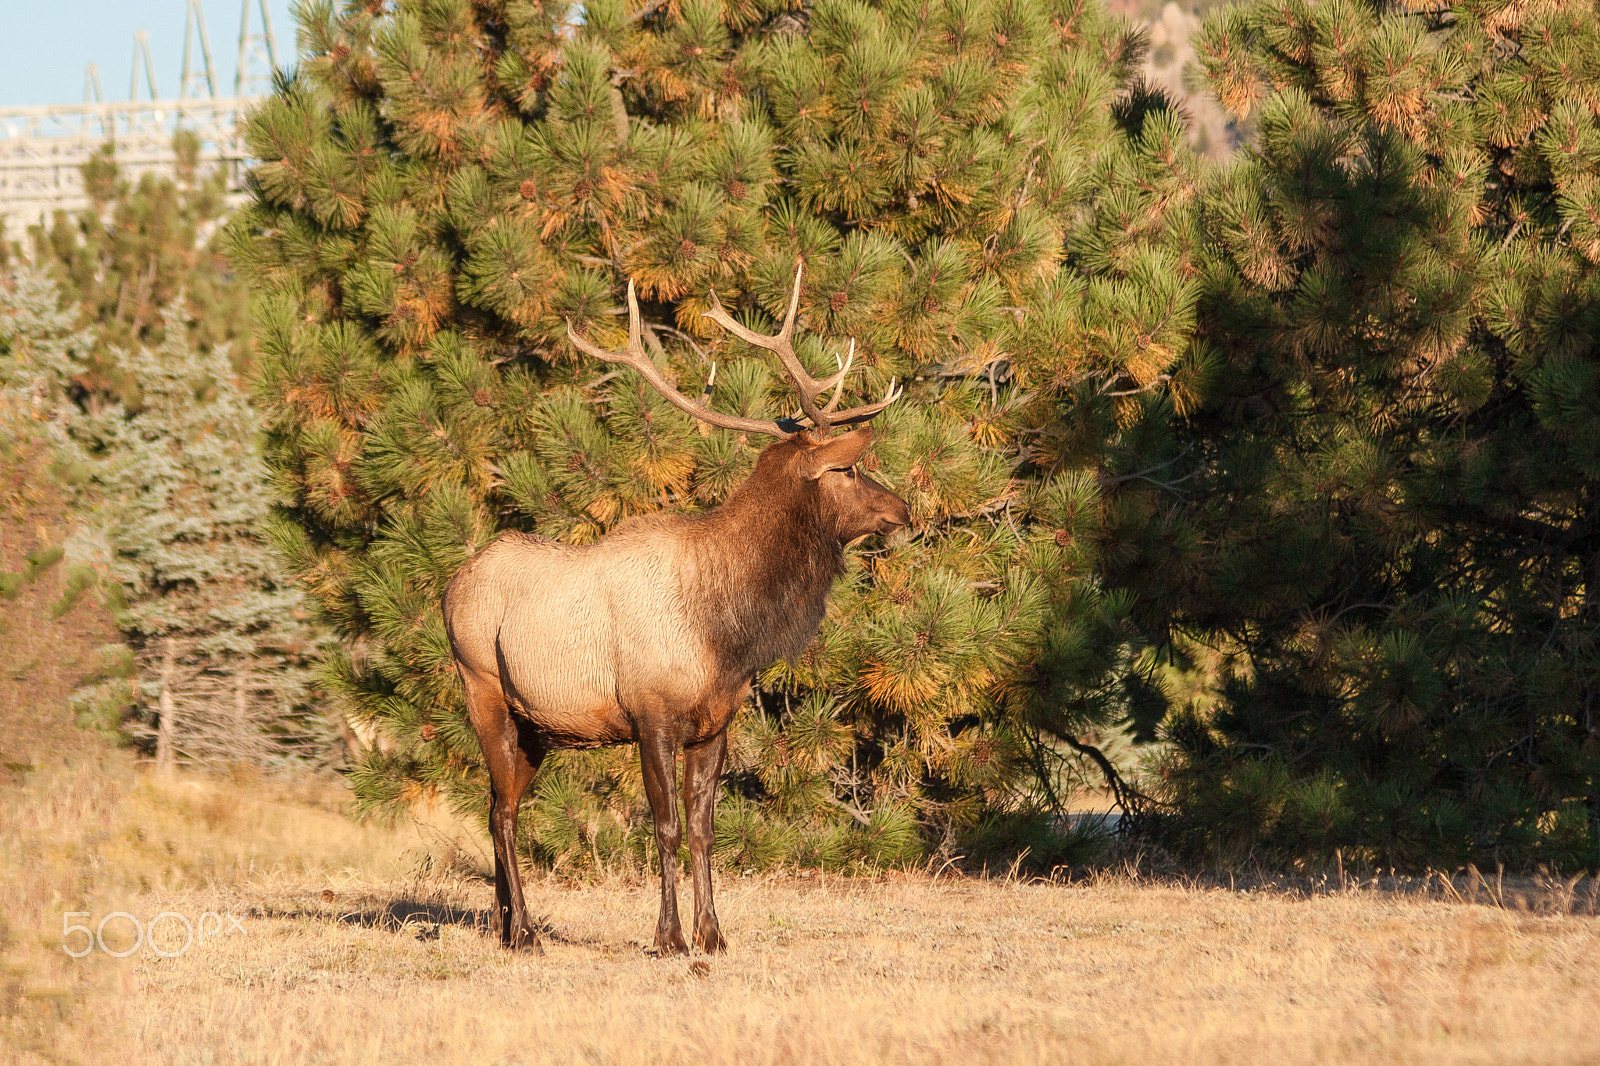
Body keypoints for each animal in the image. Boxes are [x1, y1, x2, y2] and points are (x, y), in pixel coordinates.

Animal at [442, 263, 910, 955]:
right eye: (848, 469)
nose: (903, 509)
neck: (729, 632)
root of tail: (450, 587)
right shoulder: (651, 713)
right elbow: (662, 827)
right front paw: (668, 938)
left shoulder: (715, 723)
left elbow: (702, 830)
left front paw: (713, 934)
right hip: (484, 689)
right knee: (502, 811)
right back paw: (524, 930)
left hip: (536, 726)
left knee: (495, 802)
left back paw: (504, 924)